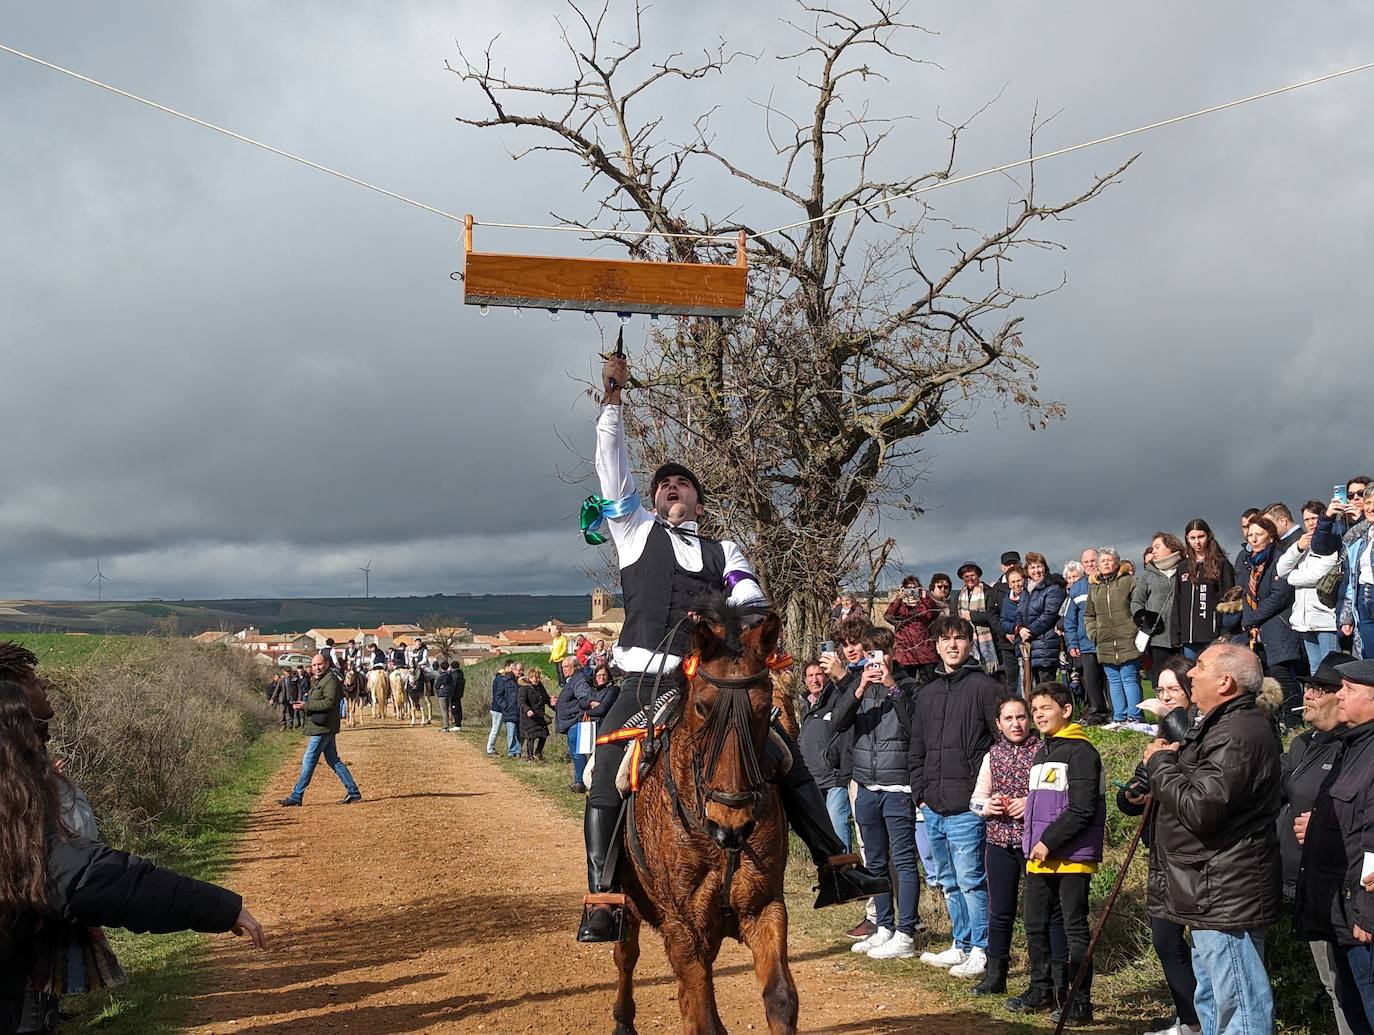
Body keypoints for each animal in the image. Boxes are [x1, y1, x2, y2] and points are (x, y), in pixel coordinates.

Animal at [612, 596, 796, 1033]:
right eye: (700, 706)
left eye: (765, 709)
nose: (732, 822)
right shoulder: (684, 927)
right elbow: (704, 1017)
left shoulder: (764, 908)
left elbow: (780, 999)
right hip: (627, 901)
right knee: (625, 956)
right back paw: (623, 1021)